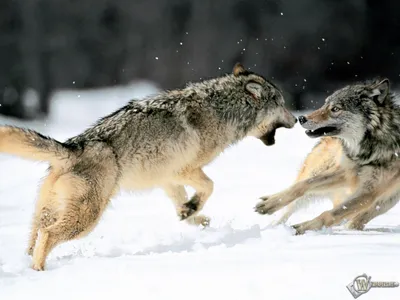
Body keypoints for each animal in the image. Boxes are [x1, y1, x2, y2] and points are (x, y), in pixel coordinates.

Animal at [0, 62, 296, 270]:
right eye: (282, 104)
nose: (296, 120)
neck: (222, 110)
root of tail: (73, 146)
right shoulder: (184, 170)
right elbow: (210, 186)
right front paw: (193, 210)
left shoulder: (166, 178)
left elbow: (182, 204)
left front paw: (191, 214)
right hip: (86, 219)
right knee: (48, 235)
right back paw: (40, 271)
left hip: (48, 212)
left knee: (34, 239)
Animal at [255, 79, 400, 234]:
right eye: (325, 104)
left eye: (335, 109)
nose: (301, 118)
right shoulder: (345, 172)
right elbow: (304, 185)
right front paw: (269, 204)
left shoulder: (369, 192)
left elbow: (330, 214)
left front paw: (302, 228)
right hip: (318, 172)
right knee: (289, 207)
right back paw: (270, 226)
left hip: (387, 201)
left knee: (356, 219)